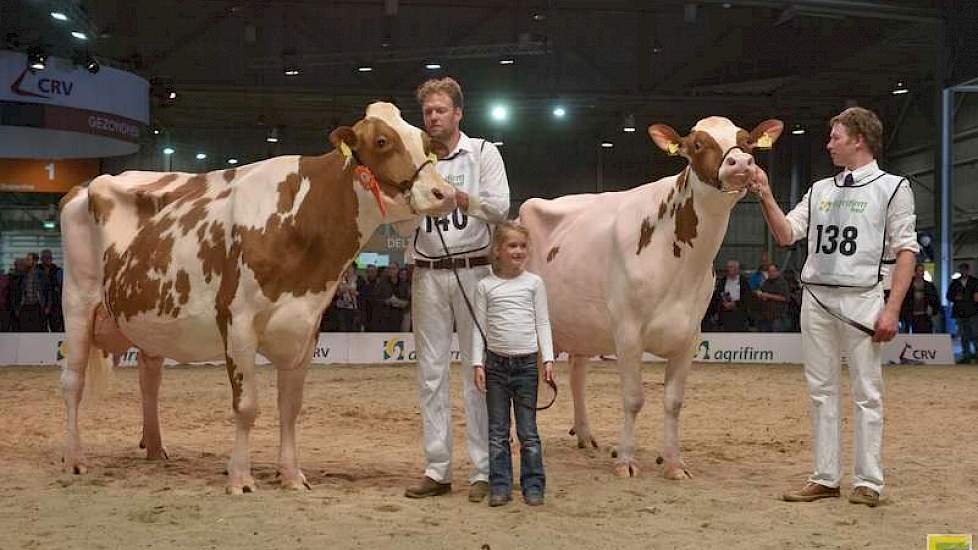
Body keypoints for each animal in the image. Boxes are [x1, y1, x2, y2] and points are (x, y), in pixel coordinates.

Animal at [59, 103, 456, 496]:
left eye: (426, 142)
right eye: (382, 141)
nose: (445, 194)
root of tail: (83, 186)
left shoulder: (306, 327)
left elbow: (291, 407)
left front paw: (291, 475)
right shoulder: (237, 322)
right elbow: (246, 405)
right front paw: (240, 477)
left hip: (148, 320)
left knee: (149, 379)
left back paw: (155, 449)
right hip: (78, 303)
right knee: (72, 382)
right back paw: (74, 458)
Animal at [524, 115, 780, 478]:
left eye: (746, 141)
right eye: (697, 144)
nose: (741, 163)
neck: (681, 265)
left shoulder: (690, 335)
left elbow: (673, 402)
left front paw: (673, 462)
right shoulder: (628, 331)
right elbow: (633, 399)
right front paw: (626, 461)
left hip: (581, 324)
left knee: (577, 374)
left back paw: (585, 435)